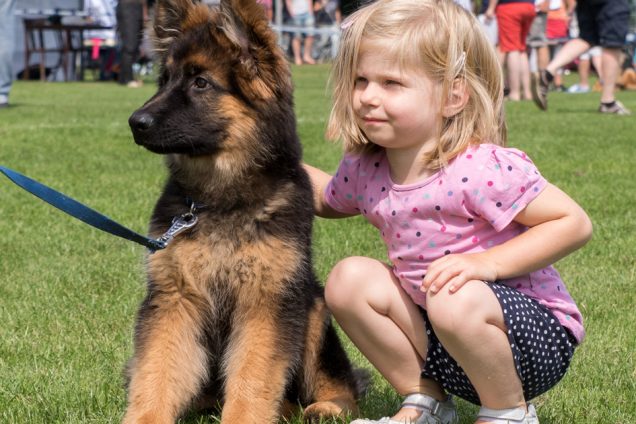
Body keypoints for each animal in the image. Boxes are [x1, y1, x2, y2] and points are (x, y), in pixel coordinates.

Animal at [125, 0, 362, 422]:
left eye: (201, 83)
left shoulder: (266, 301)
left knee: (342, 384)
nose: (136, 123)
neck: (222, 199)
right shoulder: (174, 297)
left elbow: (253, 376)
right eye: (164, 79)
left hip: (314, 309)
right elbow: (156, 370)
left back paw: (321, 406)